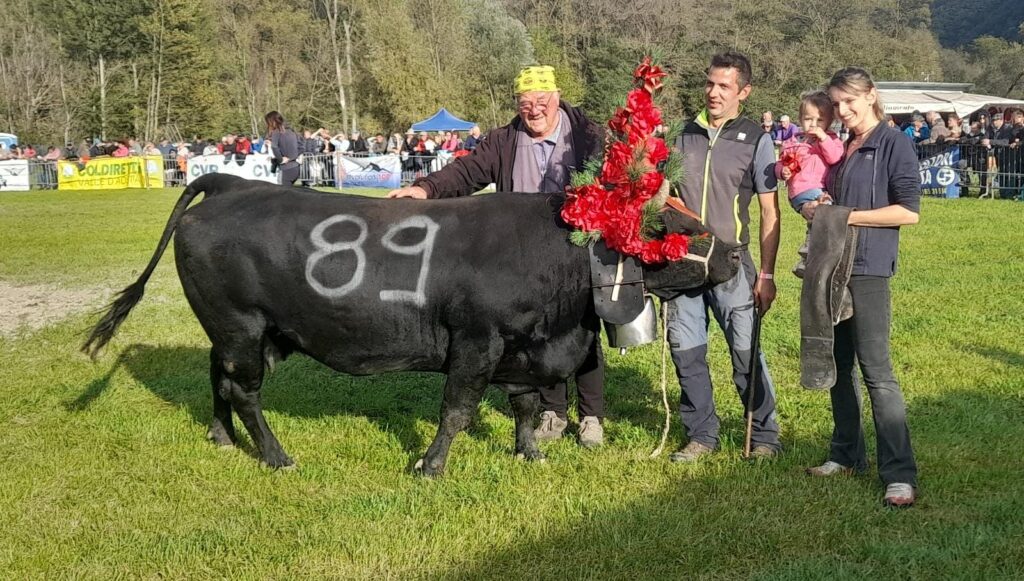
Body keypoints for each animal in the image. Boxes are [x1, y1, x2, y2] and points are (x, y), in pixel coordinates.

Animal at [81, 175, 737, 475]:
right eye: (666, 226)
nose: (733, 253)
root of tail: (231, 182)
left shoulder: (521, 350)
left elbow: (525, 406)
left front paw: (529, 454)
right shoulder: (476, 342)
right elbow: (457, 411)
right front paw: (430, 466)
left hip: (241, 335)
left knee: (218, 378)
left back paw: (221, 438)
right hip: (243, 328)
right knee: (243, 391)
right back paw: (275, 456)